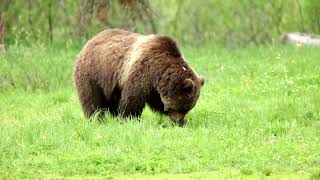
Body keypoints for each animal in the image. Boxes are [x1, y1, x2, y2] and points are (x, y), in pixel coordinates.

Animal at [73, 29, 204, 125]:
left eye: (188, 108)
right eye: (182, 108)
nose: (179, 121)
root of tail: (90, 41)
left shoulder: (154, 88)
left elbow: (156, 102)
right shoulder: (143, 71)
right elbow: (132, 99)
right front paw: (130, 119)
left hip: (112, 84)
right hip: (93, 73)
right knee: (91, 99)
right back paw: (96, 119)